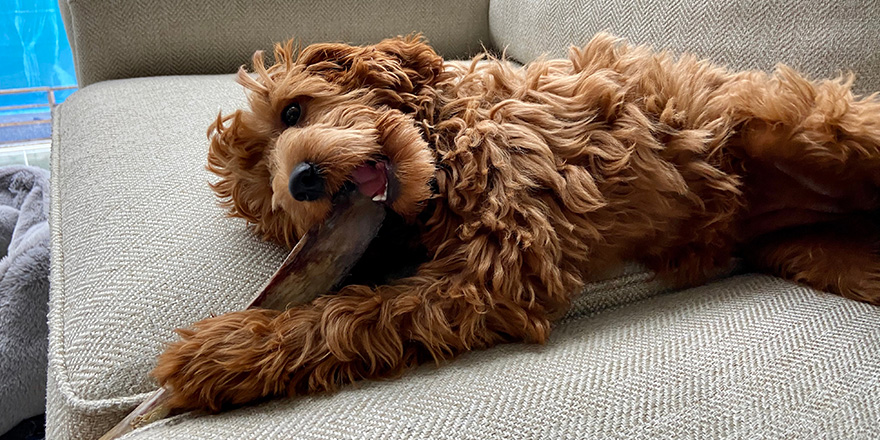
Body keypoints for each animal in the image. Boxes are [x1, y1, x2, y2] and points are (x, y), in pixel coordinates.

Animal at [155, 34, 880, 412]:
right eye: (274, 205)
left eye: (293, 112)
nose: (300, 180)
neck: (448, 147)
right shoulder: (479, 277)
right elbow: (348, 316)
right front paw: (229, 353)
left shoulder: (501, 264)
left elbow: (344, 313)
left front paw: (213, 353)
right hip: (817, 253)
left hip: (802, 121)